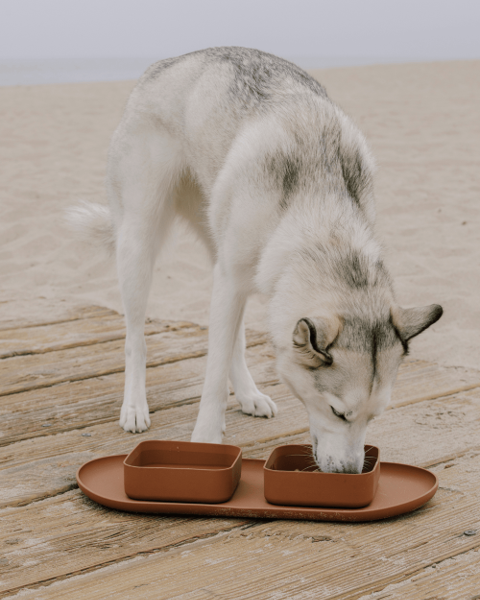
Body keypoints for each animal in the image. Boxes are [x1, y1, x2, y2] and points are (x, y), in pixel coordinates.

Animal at [67, 47, 442, 474]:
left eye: (374, 416)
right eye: (338, 412)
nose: (349, 473)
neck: (319, 211)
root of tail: (166, 63)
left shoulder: (237, 279)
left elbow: (231, 344)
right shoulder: (229, 280)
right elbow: (213, 376)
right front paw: (206, 442)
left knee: (233, 339)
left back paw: (248, 394)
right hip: (139, 241)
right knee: (136, 339)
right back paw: (134, 405)